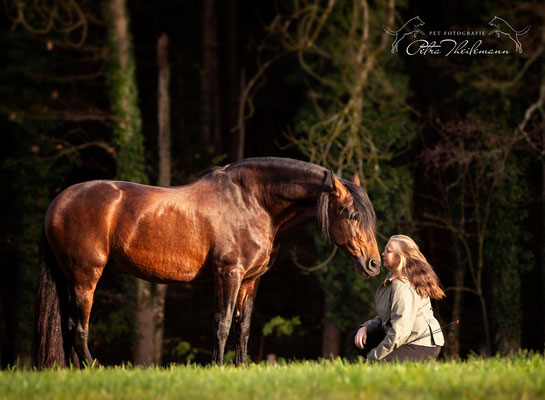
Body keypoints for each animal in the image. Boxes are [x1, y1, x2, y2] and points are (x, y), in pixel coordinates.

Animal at [34, 157, 380, 368]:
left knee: (67, 326)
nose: (374, 264)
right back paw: (93, 367)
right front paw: (218, 366)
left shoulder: (251, 280)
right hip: (85, 276)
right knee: (78, 327)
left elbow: (243, 327)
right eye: (352, 215)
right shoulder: (229, 274)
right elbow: (222, 323)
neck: (252, 202)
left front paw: (240, 367)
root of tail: (57, 203)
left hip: (70, 278)